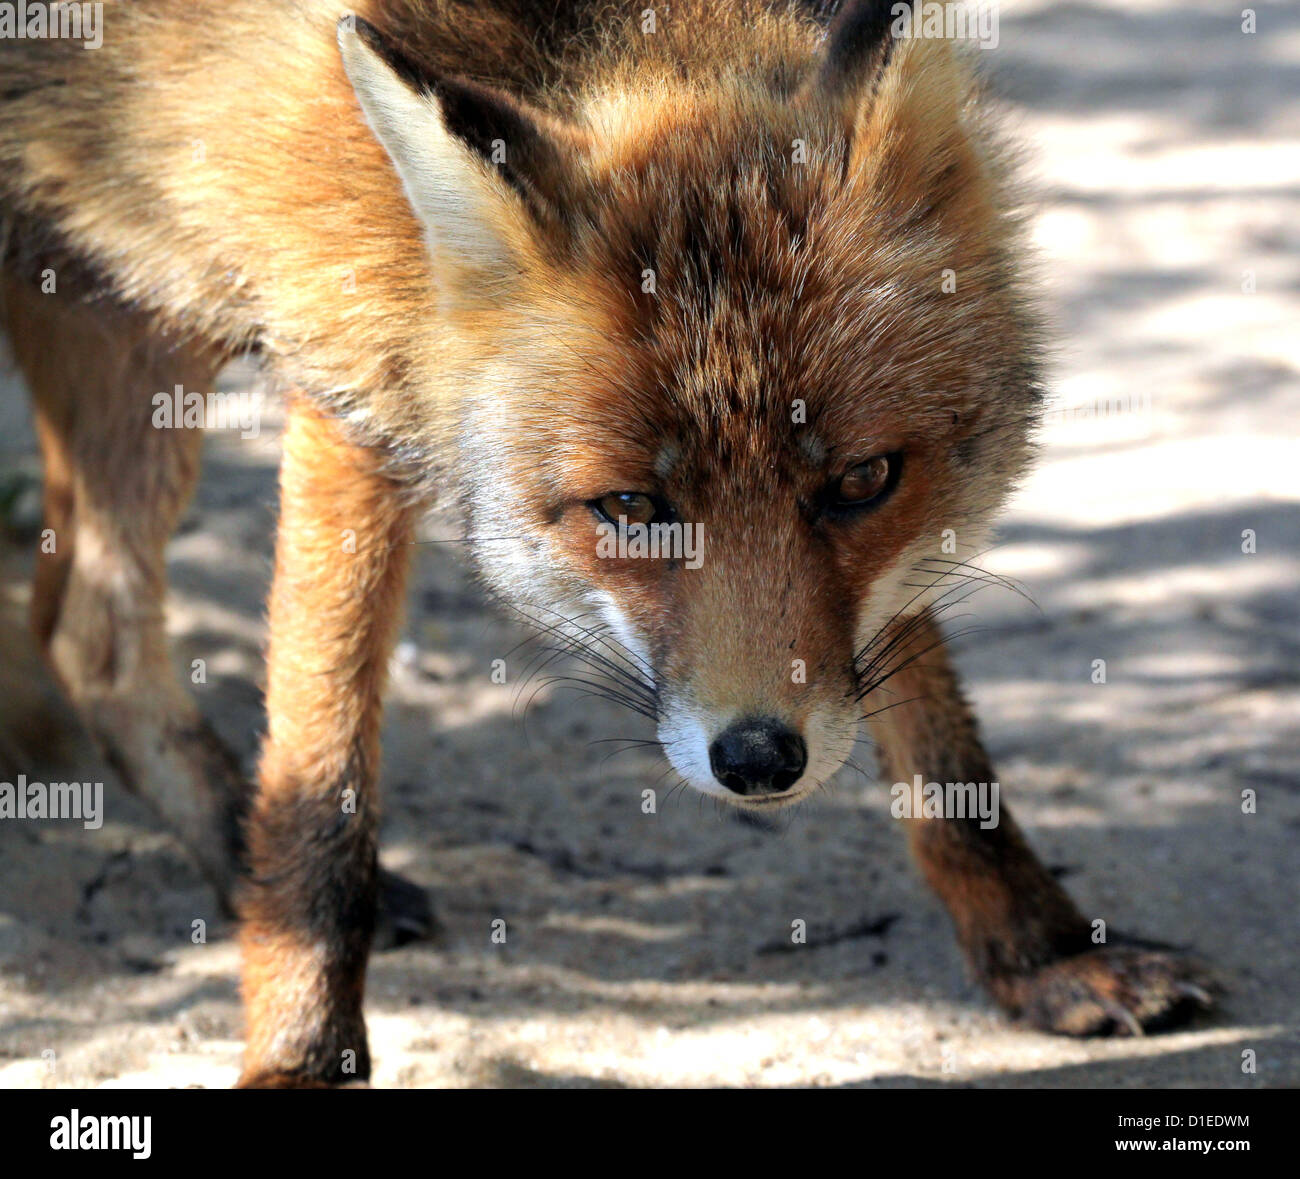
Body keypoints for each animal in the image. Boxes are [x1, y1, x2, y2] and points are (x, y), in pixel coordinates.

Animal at [5, 0, 1211, 1086]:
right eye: (630, 507)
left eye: (862, 483)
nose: (759, 759)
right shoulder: (349, 373)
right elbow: (321, 774)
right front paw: (300, 1049)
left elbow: (939, 739)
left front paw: (1040, 954)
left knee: (81, 630)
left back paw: (227, 847)